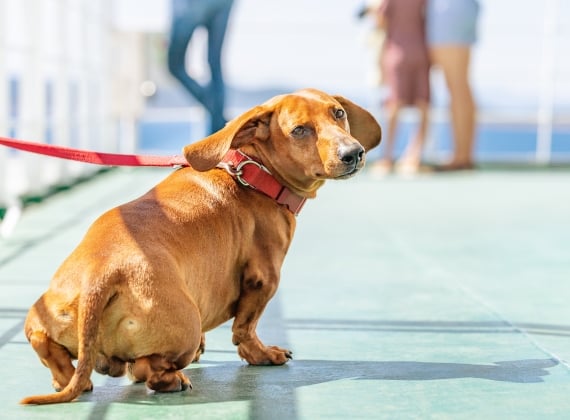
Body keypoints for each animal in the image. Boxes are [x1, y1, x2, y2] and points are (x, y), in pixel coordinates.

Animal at [20, 88, 380, 404]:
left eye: (338, 113)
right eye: (299, 130)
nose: (353, 153)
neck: (253, 174)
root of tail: (100, 275)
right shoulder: (264, 279)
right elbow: (245, 328)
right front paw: (263, 354)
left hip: (43, 317)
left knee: (49, 348)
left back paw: (70, 378)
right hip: (186, 325)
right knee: (148, 369)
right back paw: (173, 379)